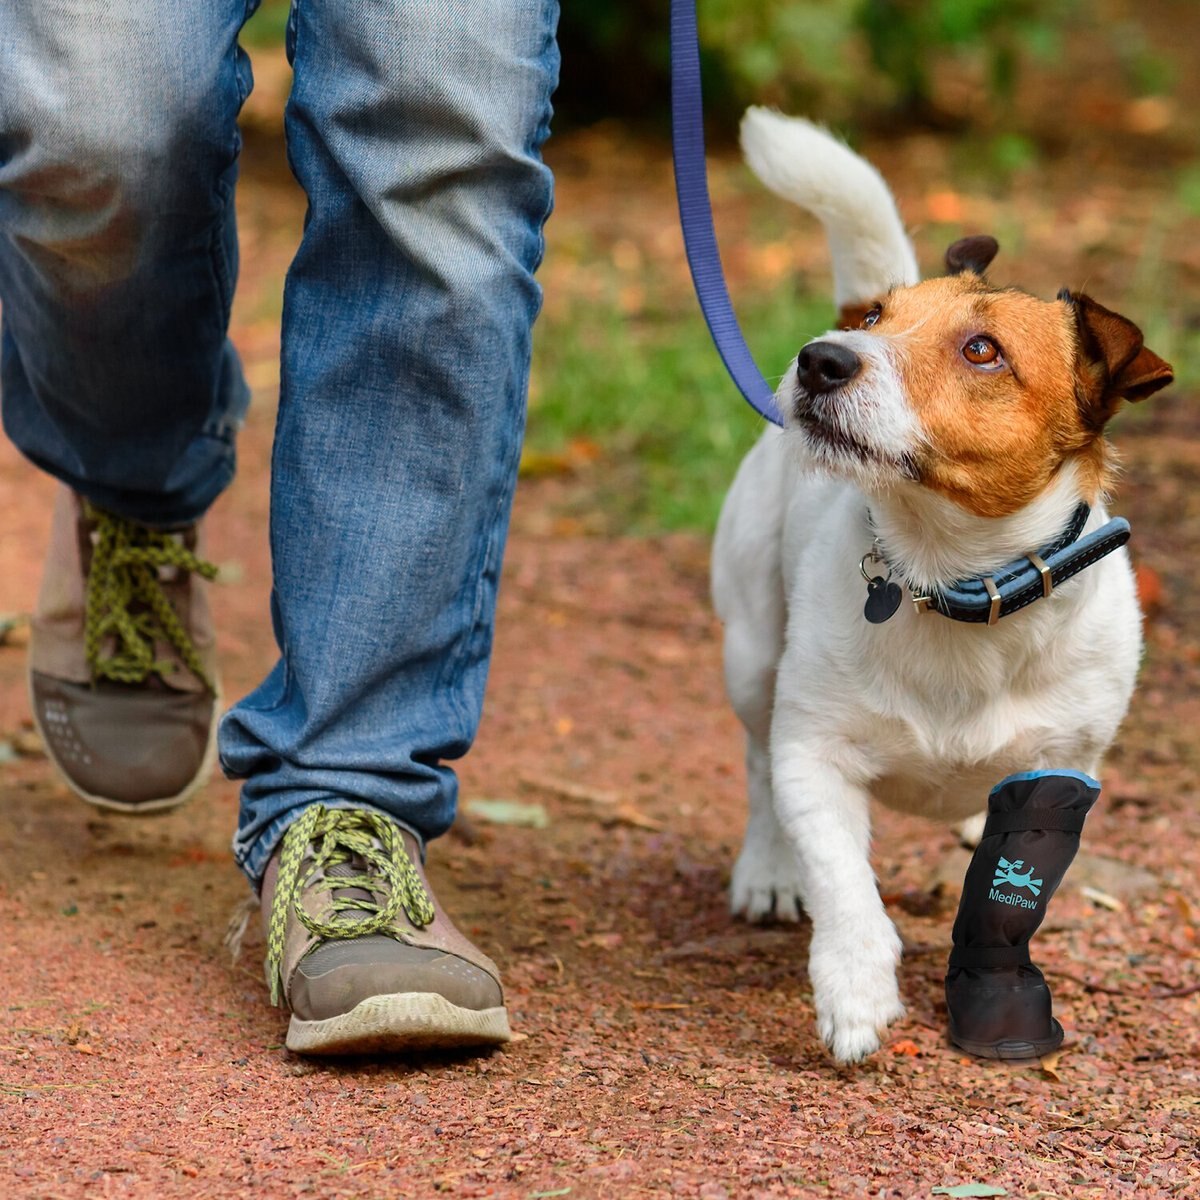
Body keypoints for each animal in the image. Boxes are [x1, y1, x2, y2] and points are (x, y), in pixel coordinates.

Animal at [710, 112, 1171, 1065]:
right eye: (880, 319)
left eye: (982, 351)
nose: (820, 357)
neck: (949, 579)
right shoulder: (814, 755)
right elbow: (843, 879)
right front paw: (854, 991)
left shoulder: (1062, 774)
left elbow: (1005, 897)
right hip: (750, 654)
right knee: (757, 766)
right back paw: (768, 869)